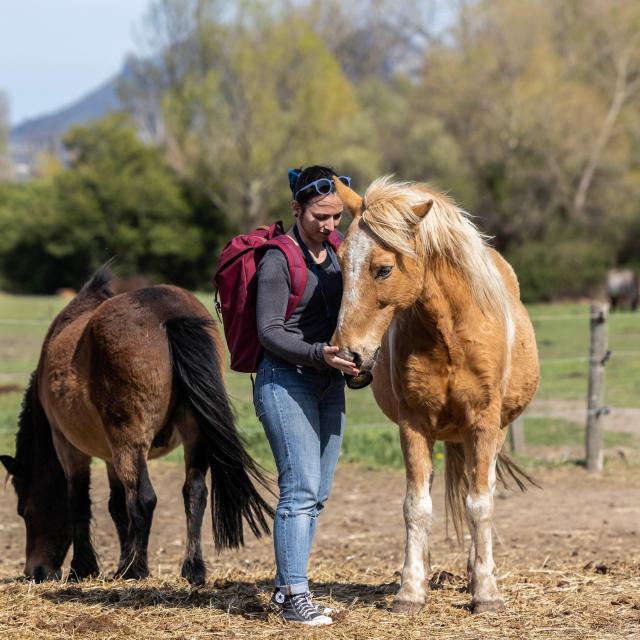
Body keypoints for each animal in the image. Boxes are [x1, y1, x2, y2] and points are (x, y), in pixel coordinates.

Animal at [0, 268, 272, 584]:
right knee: (194, 493)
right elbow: (117, 507)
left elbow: (79, 501)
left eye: (25, 511)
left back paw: (133, 569)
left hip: (130, 441)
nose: (36, 571)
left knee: (143, 498)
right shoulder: (109, 455)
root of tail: (168, 314)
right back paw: (191, 568)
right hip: (192, 436)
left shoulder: (68, 445)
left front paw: (84, 568)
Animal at [332, 176, 536, 616]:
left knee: (482, 491)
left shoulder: (483, 425)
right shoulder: (413, 426)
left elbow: (480, 504)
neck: (451, 336)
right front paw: (410, 590)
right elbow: (416, 507)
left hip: (494, 434)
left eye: (383, 268)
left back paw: (477, 571)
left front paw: (486, 592)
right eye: (339, 262)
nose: (347, 354)